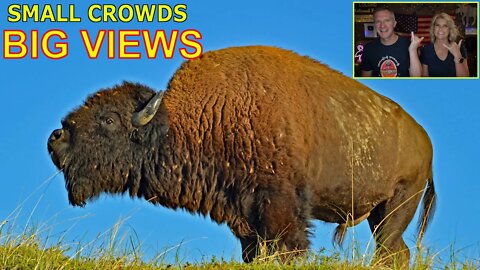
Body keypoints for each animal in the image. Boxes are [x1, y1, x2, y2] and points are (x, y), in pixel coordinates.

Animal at [47, 45, 436, 264]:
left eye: (109, 119)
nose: (57, 138)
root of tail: (425, 140)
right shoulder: (243, 213)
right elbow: (253, 250)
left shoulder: (280, 207)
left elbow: (287, 246)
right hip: (380, 215)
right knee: (395, 252)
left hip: (398, 205)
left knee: (390, 249)